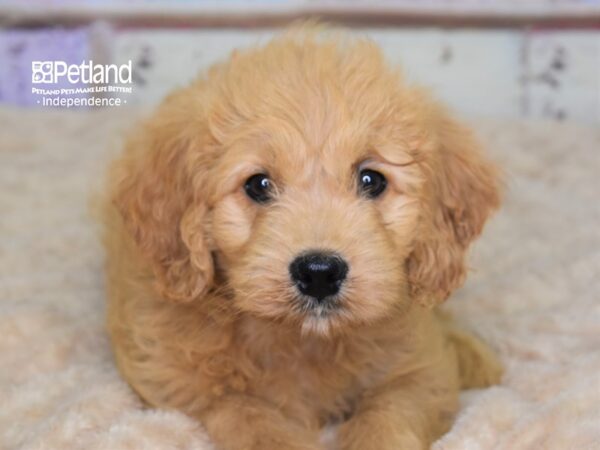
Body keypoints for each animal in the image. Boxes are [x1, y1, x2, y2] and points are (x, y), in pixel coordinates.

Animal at [103, 25, 502, 450]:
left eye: (371, 180)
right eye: (258, 184)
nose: (320, 272)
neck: (305, 341)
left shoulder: (421, 372)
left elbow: (388, 411)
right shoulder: (177, 380)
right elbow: (248, 414)